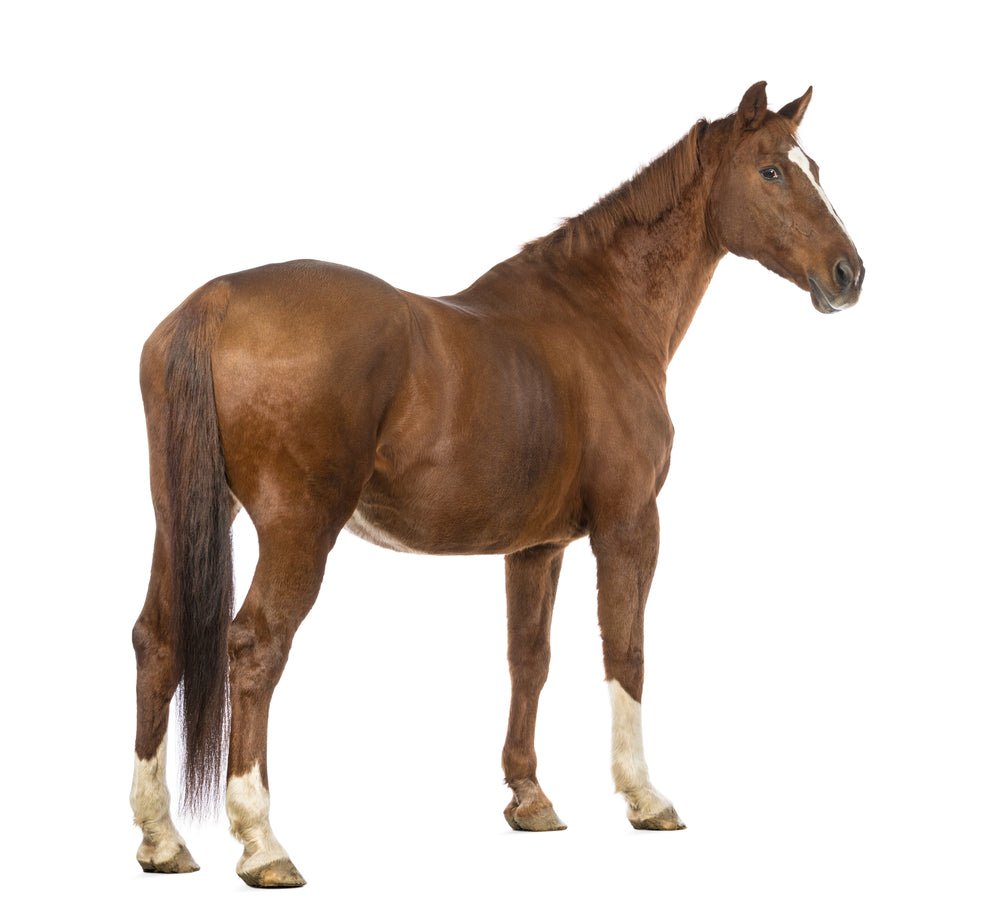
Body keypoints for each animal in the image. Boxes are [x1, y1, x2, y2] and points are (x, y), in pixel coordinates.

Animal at [130, 81, 864, 888]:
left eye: (814, 166)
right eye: (771, 171)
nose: (848, 274)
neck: (601, 313)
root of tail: (215, 301)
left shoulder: (536, 547)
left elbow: (529, 659)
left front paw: (530, 798)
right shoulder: (630, 523)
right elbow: (626, 650)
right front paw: (645, 796)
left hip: (183, 518)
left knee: (157, 640)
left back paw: (162, 838)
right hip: (298, 529)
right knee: (256, 646)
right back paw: (263, 842)